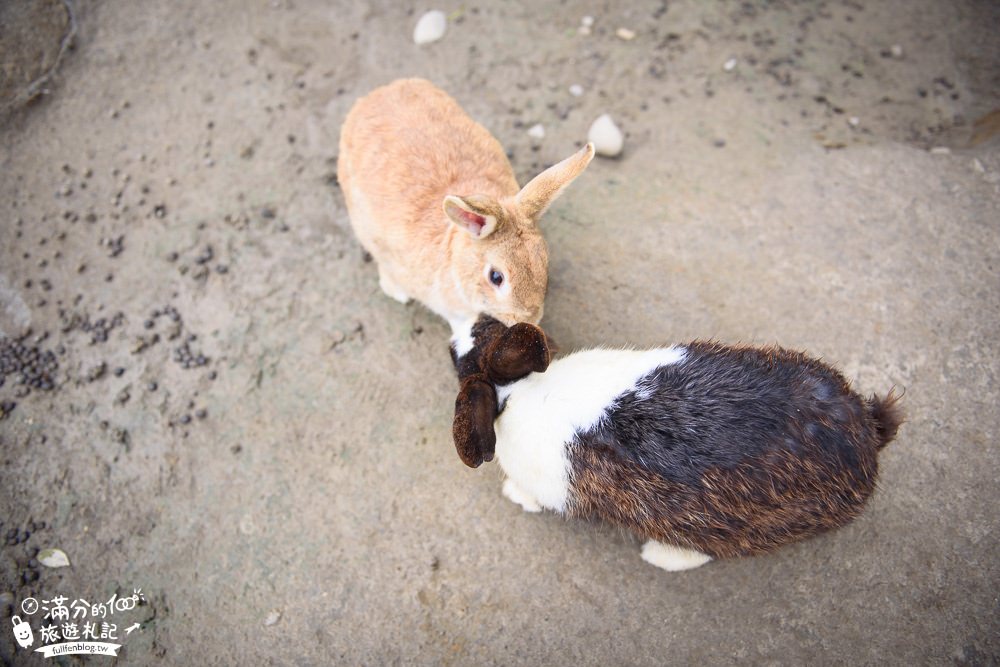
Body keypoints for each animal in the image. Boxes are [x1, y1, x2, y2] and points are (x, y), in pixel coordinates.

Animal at [450, 318, 904, 576]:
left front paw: (513, 494)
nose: (455, 337)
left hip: (729, 526)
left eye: (462, 363)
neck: (516, 392)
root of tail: (869, 433)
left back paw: (659, 556)